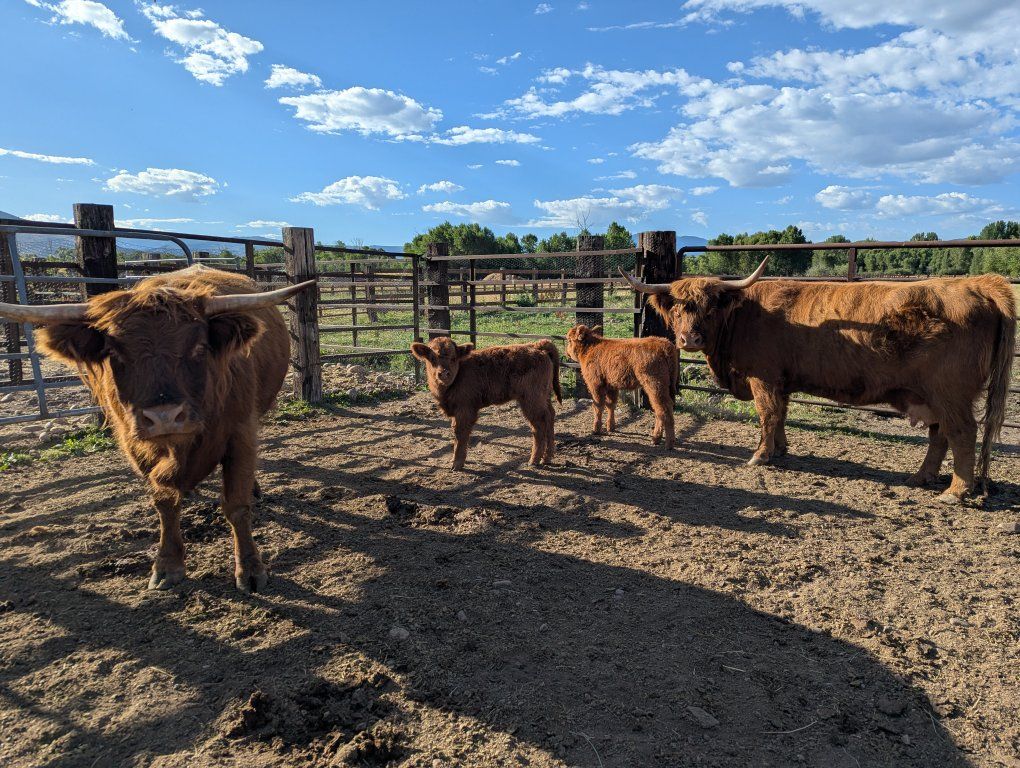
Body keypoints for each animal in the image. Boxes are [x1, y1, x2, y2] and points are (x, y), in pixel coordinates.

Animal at [0, 265, 314, 591]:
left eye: (199, 347)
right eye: (115, 352)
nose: (164, 416)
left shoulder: (240, 433)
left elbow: (236, 506)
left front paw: (250, 569)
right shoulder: (135, 446)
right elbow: (164, 503)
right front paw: (167, 565)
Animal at [410, 337, 562, 470]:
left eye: (453, 358)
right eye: (432, 358)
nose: (444, 374)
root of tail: (536, 345)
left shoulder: (465, 410)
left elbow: (460, 434)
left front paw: (457, 464)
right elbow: (457, 434)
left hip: (531, 401)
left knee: (539, 425)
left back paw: (534, 460)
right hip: (543, 397)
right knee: (550, 416)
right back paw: (547, 458)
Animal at [620, 258, 1016, 503]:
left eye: (710, 307)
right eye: (676, 308)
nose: (689, 339)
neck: (743, 317)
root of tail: (979, 284)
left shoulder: (763, 378)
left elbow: (767, 414)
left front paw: (760, 456)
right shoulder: (782, 381)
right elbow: (780, 415)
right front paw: (779, 450)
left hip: (950, 393)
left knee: (962, 432)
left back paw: (956, 491)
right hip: (931, 396)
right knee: (939, 435)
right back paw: (921, 477)